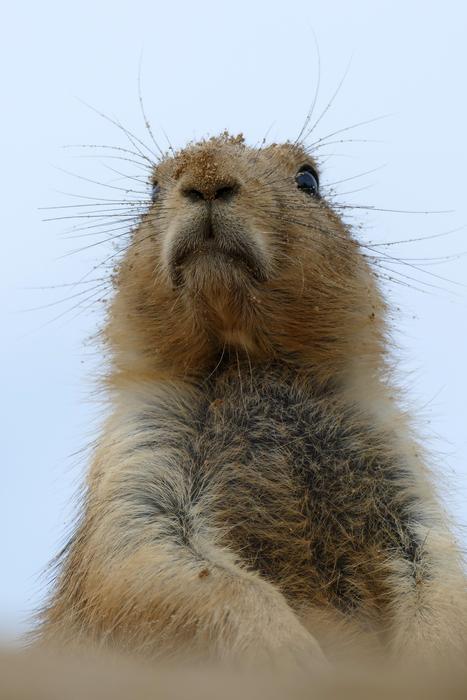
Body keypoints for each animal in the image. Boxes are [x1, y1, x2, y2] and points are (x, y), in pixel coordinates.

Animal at [37, 131, 466, 666]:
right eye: (151, 189)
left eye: (309, 179)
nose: (207, 176)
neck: (247, 363)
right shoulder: (138, 453)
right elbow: (149, 560)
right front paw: (293, 657)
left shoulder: (397, 465)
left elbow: (435, 565)